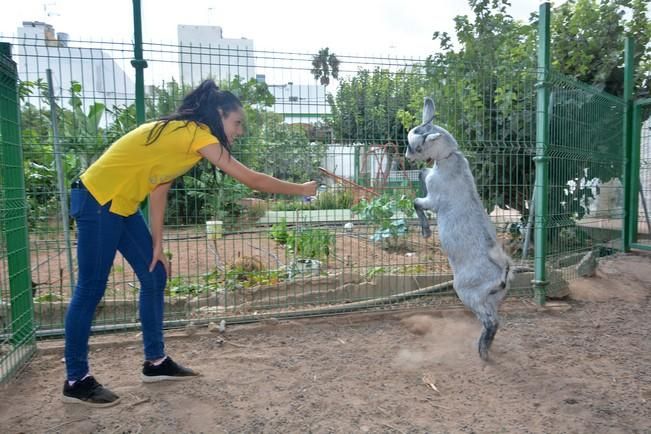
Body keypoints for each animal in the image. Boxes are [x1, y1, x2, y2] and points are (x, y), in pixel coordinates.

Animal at [404, 96, 512, 362]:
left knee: (491, 322)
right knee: (496, 320)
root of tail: (502, 271)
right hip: (493, 298)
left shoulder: (433, 199)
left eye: (415, 147)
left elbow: (417, 202)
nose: (406, 156)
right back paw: (485, 348)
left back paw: (482, 351)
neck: (450, 158)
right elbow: (422, 174)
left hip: (466, 292)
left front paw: (425, 231)